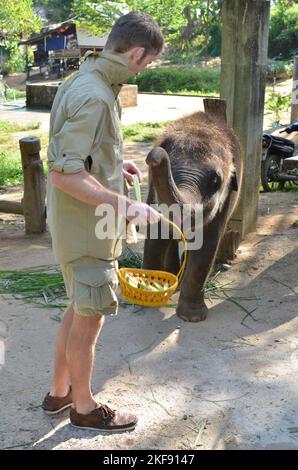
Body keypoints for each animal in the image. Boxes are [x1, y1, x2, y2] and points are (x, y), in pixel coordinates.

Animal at [143, 112, 243, 322]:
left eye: (215, 180)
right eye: (170, 167)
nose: (155, 156)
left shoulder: (225, 201)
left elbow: (206, 244)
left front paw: (191, 318)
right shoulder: (154, 193)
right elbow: (157, 233)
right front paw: (148, 297)